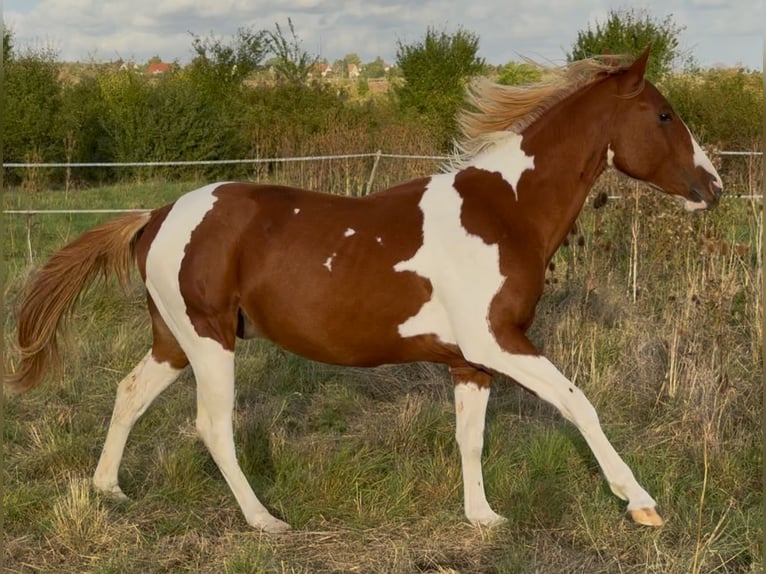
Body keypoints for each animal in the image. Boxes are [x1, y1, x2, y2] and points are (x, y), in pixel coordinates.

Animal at [5, 47, 723, 533]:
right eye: (664, 114)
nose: (713, 188)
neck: (506, 211)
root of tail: (157, 217)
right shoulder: (499, 342)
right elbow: (580, 404)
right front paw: (641, 504)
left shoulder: (472, 361)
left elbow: (470, 437)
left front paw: (483, 517)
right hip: (208, 342)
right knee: (211, 425)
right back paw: (265, 520)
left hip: (176, 339)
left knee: (129, 392)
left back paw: (108, 490)